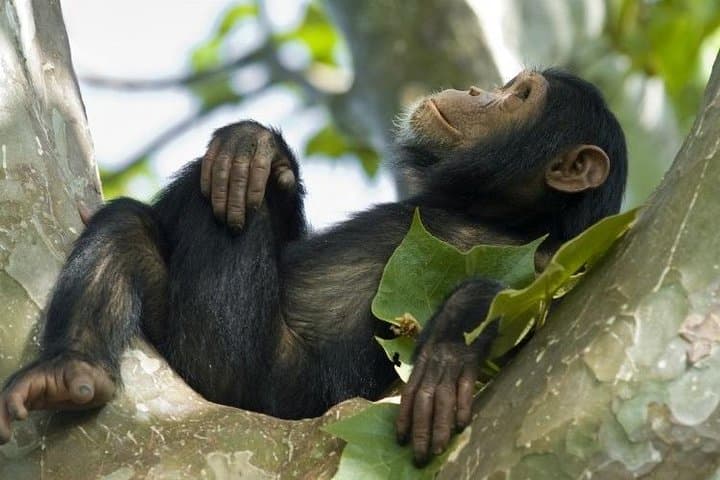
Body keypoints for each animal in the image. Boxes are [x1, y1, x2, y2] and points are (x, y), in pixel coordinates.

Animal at [0, 68, 626, 465]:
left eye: (519, 95)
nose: (479, 88)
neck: (496, 212)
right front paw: (253, 147)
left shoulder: (557, 258)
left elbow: (529, 302)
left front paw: (449, 352)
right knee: (133, 226)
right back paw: (70, 369)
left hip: (235, 363)